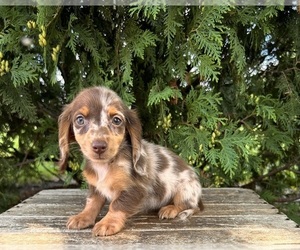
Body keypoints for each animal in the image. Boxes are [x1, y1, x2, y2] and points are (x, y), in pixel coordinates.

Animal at [58, 86, 204, 236]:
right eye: (80, 120)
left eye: (117, 120)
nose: (99, 146)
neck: (106, 165)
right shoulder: (96, 187)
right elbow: (92, 202)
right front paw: (83, 217)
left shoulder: (135, 188)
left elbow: (117, 205)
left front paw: (107, 223)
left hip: (185, 191)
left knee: (190, 206)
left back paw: (171, 209)